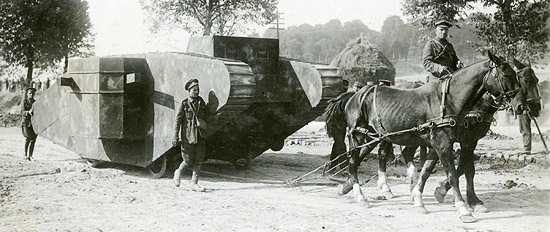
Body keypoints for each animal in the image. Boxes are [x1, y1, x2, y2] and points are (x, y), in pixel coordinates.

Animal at [332, 51, 528, 222]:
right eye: (505, 74)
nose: (520, 106)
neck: (449, 101)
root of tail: (356, 94)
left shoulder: (443, 144)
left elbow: (427, 171)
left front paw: (419, 200)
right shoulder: (445, 144)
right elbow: (453, 175)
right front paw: (463, 209)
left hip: (375, 136)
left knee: (362, 159)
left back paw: (349, 188)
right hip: (358, 135)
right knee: (353, 162)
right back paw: (360, 196)